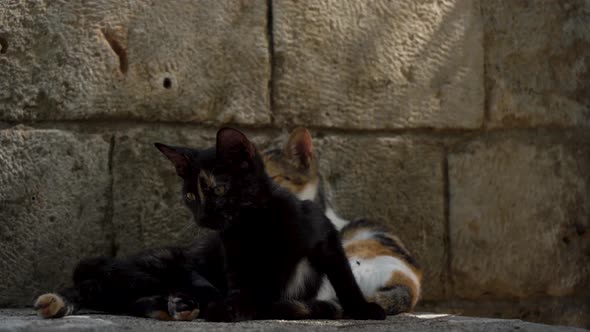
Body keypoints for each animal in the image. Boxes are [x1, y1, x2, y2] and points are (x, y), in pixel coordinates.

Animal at [155, 127, 388, 322]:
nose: (201, 217)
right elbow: (241, 289)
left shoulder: (324, 235)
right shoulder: (236, 261)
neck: (253, 224)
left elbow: (344, 277)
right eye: (190, 196)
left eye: (219, 190)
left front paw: (362, 308)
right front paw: (232, 307)